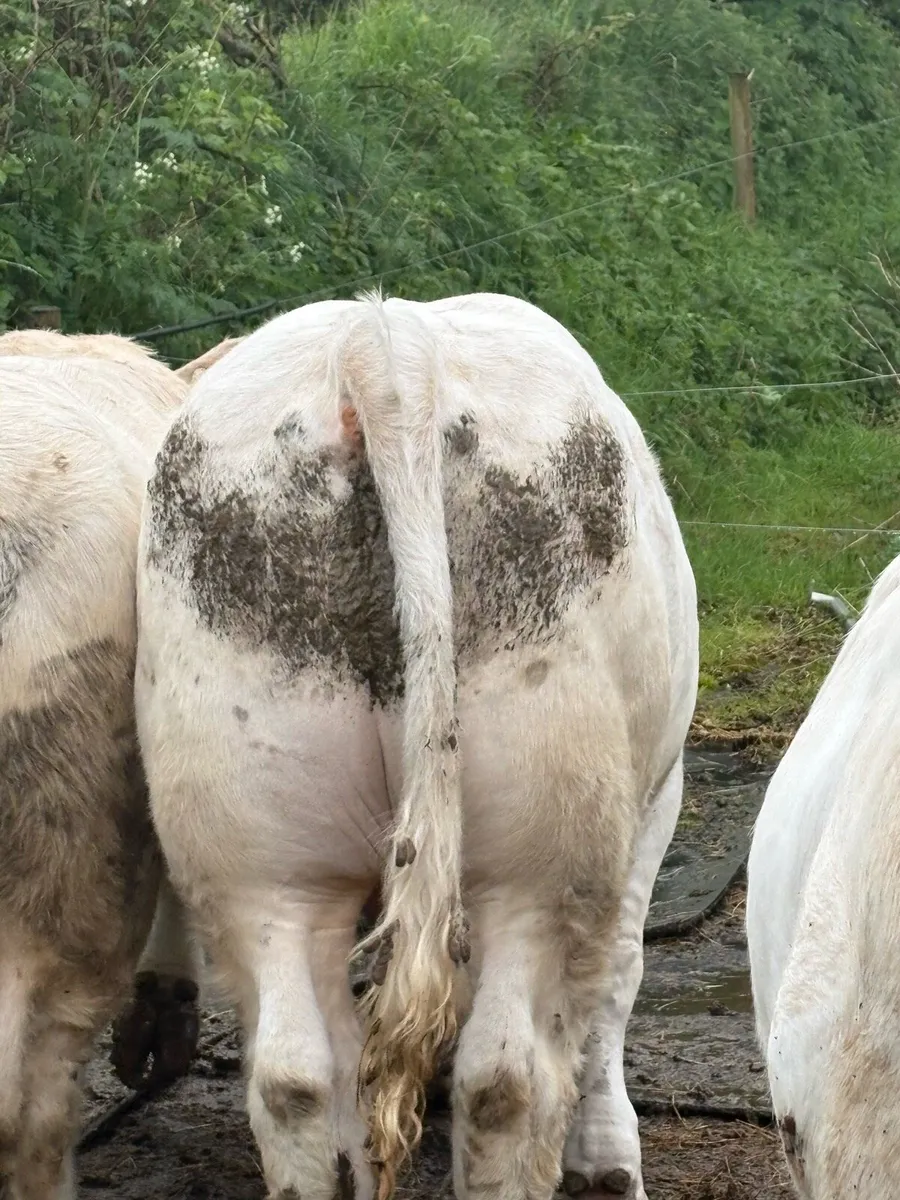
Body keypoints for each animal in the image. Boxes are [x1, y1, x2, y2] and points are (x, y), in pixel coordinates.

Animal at [135, 290, 699, 1200]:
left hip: (255, 839)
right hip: (548, 845)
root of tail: (385, 341)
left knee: (298, 1076)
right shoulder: (657, 802)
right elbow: (618, 977)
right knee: (506, 1079)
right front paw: (609, 1157)